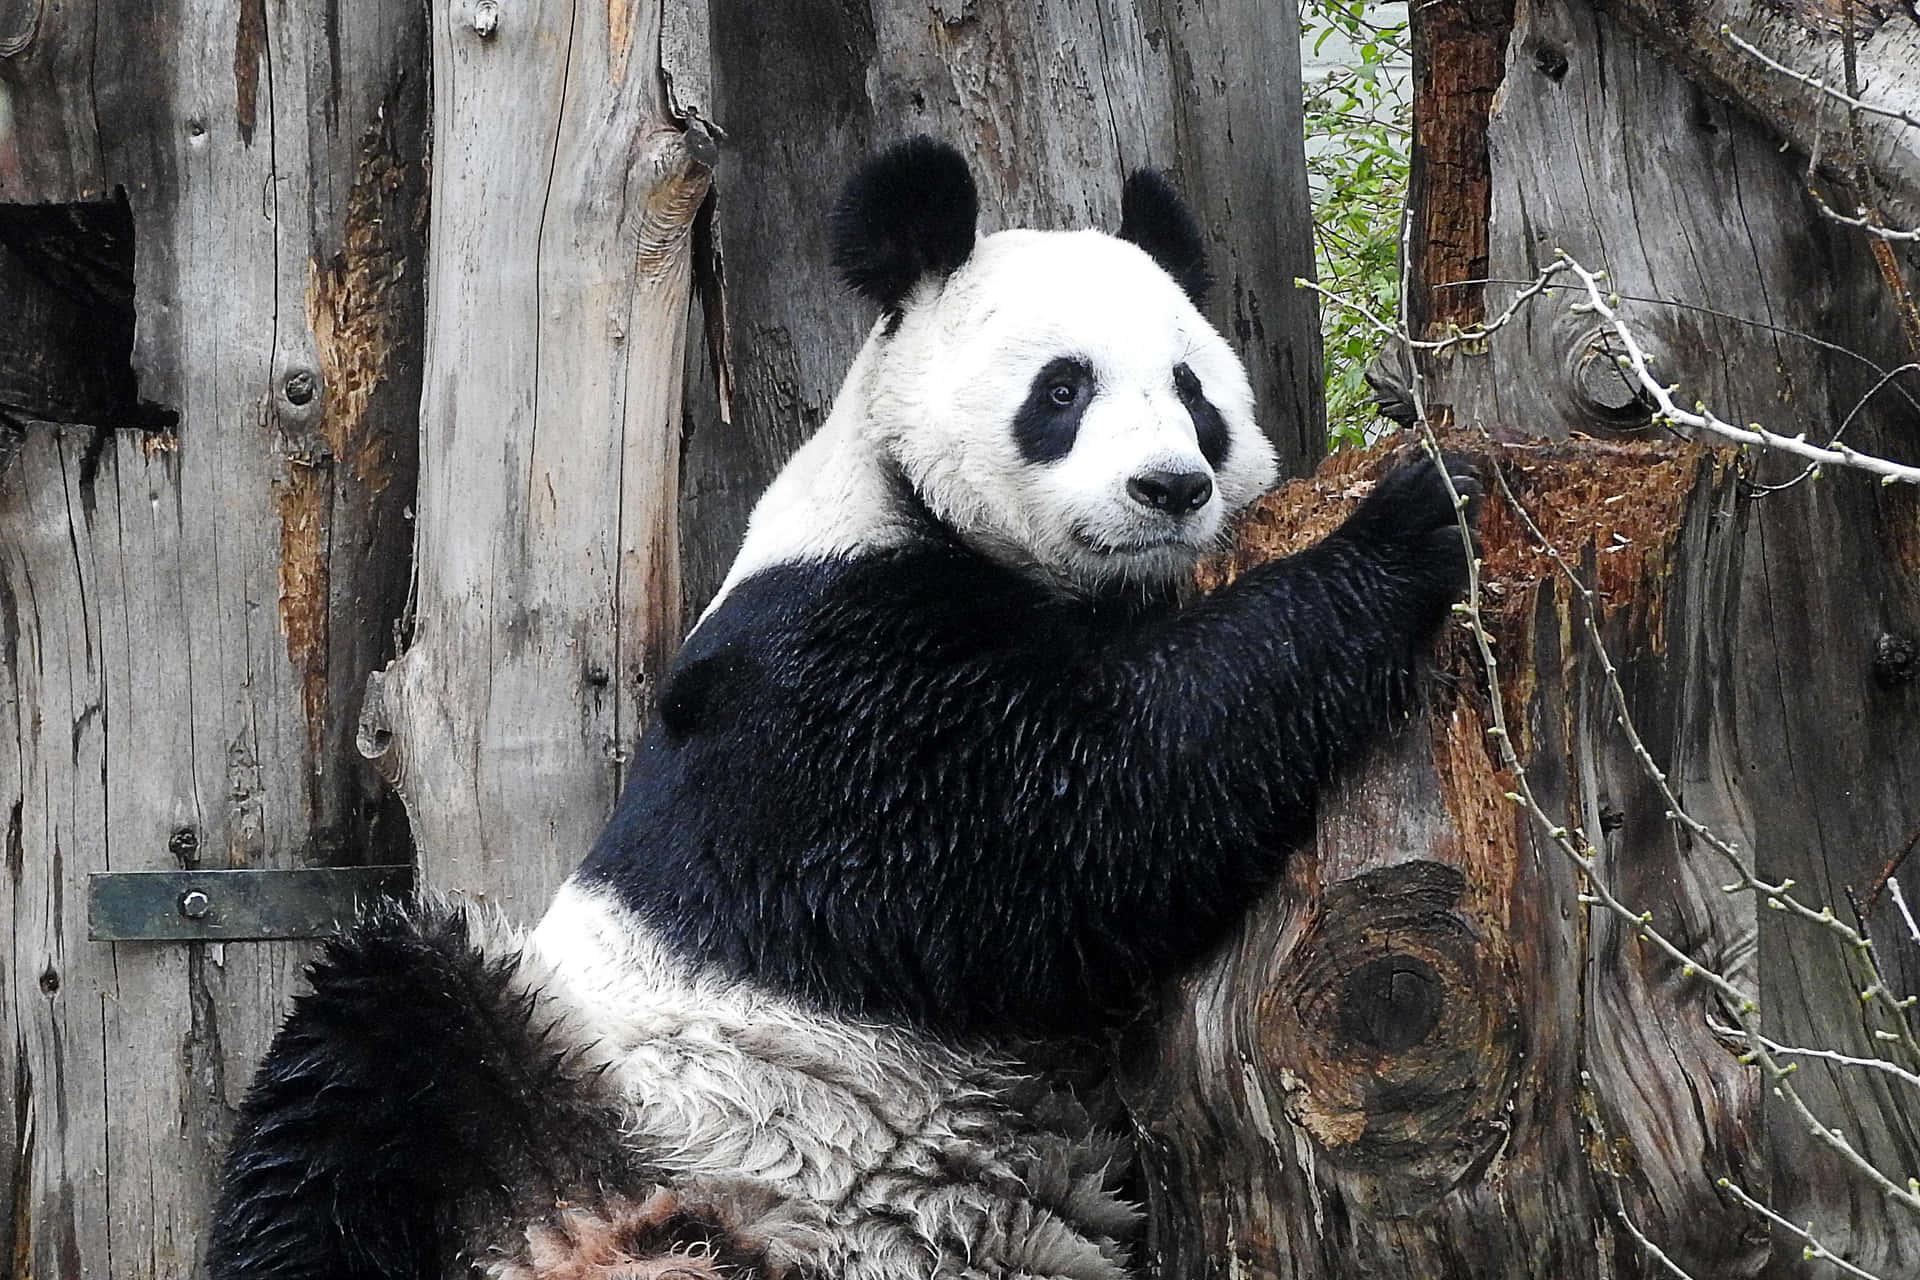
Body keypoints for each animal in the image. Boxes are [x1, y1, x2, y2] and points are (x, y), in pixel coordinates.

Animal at [206, 140, 1466, 1280]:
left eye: (1195, 395)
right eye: (1062, 390)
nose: (1170, 487)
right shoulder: (822, 667)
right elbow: (1068, 812)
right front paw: (1412, 518)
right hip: (565, 1069)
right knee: (358, 1069)